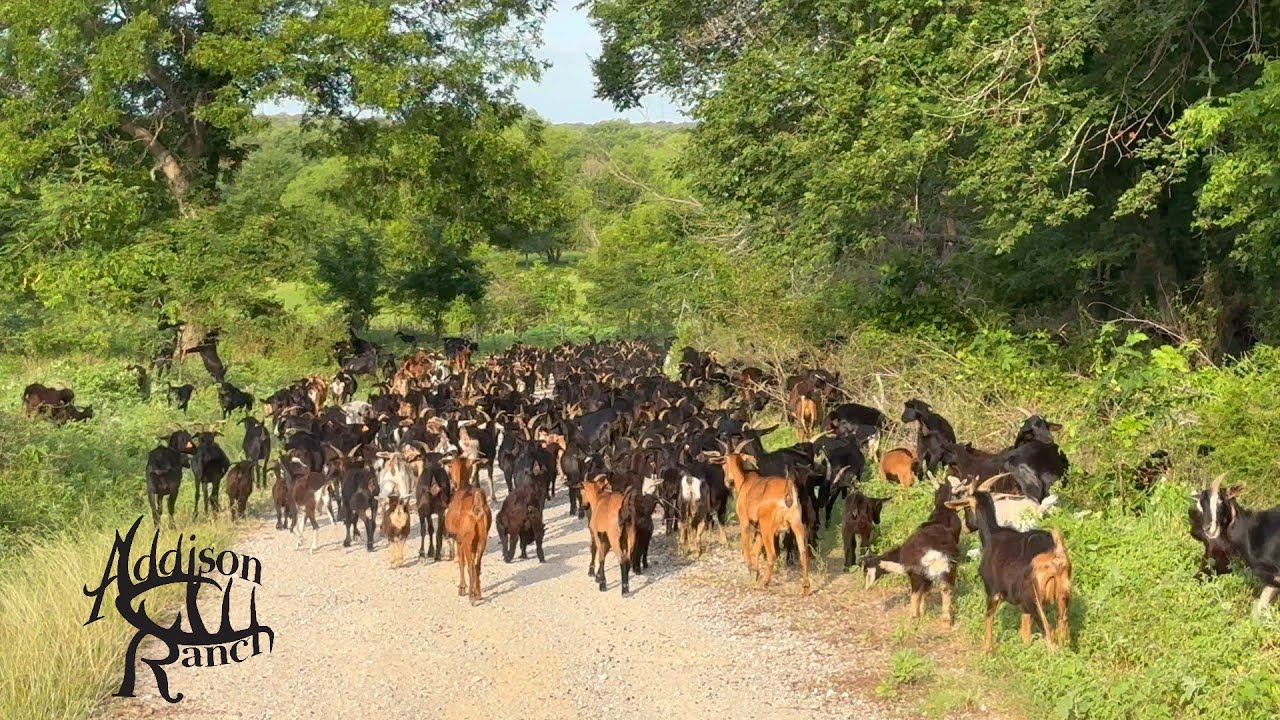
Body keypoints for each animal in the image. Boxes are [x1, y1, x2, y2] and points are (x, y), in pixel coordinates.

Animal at [946, 492, 1072, 651]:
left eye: (966, 508)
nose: (964, 528)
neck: (991, 535)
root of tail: (1055, 552)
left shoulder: (993, 591)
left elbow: (988, 618)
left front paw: (987, 649)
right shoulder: (1023, 605)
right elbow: (1025, 633)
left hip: (1034, 599)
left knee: (1049, 631)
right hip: (1063, 596)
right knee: (1063, 627)